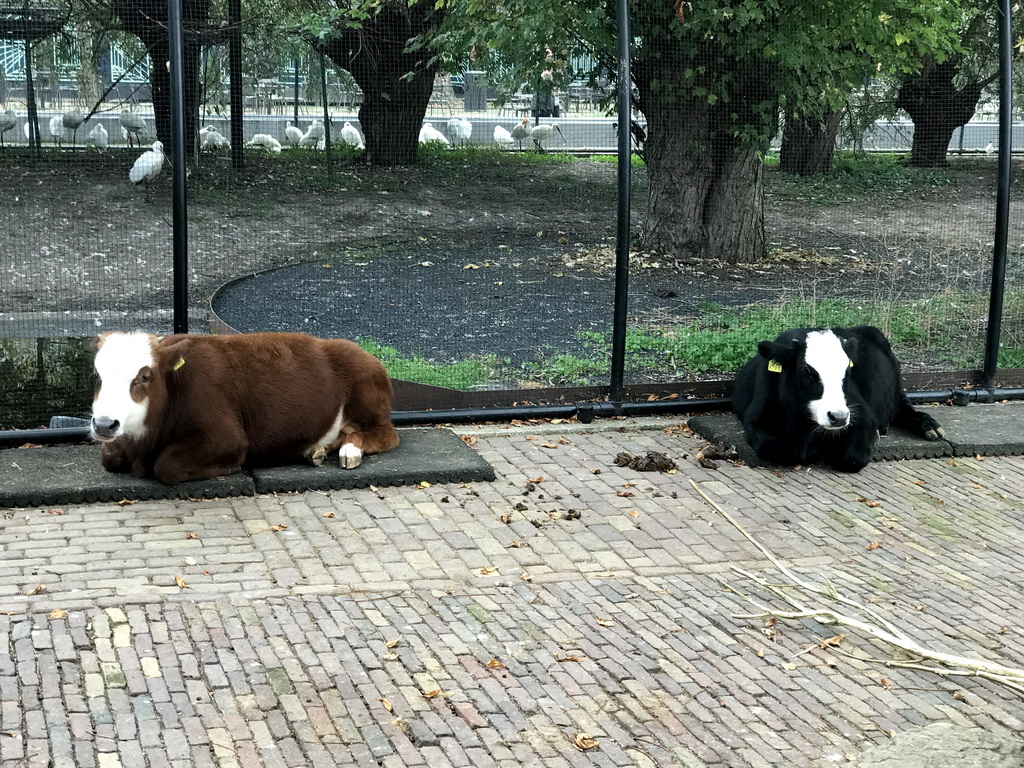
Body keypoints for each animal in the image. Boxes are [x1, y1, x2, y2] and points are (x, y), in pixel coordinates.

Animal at [90, 331, 399, 487]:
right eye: (97, 375)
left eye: (144, 377)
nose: (104, 423)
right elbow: (110, 457)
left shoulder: (227, 438)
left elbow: (166, 465)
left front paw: (227, 468)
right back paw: (316, 450)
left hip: (370, 399)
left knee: (386, 433)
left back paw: (350, 451)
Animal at [733, 323, 937, 473]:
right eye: (807, 373)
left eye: (846, 373)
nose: (838, 417)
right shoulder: (756, 418)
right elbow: (771, 447)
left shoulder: (862, 415)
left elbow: (854, 458)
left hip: (896, 388)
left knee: (904, 408)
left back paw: (930, 426)